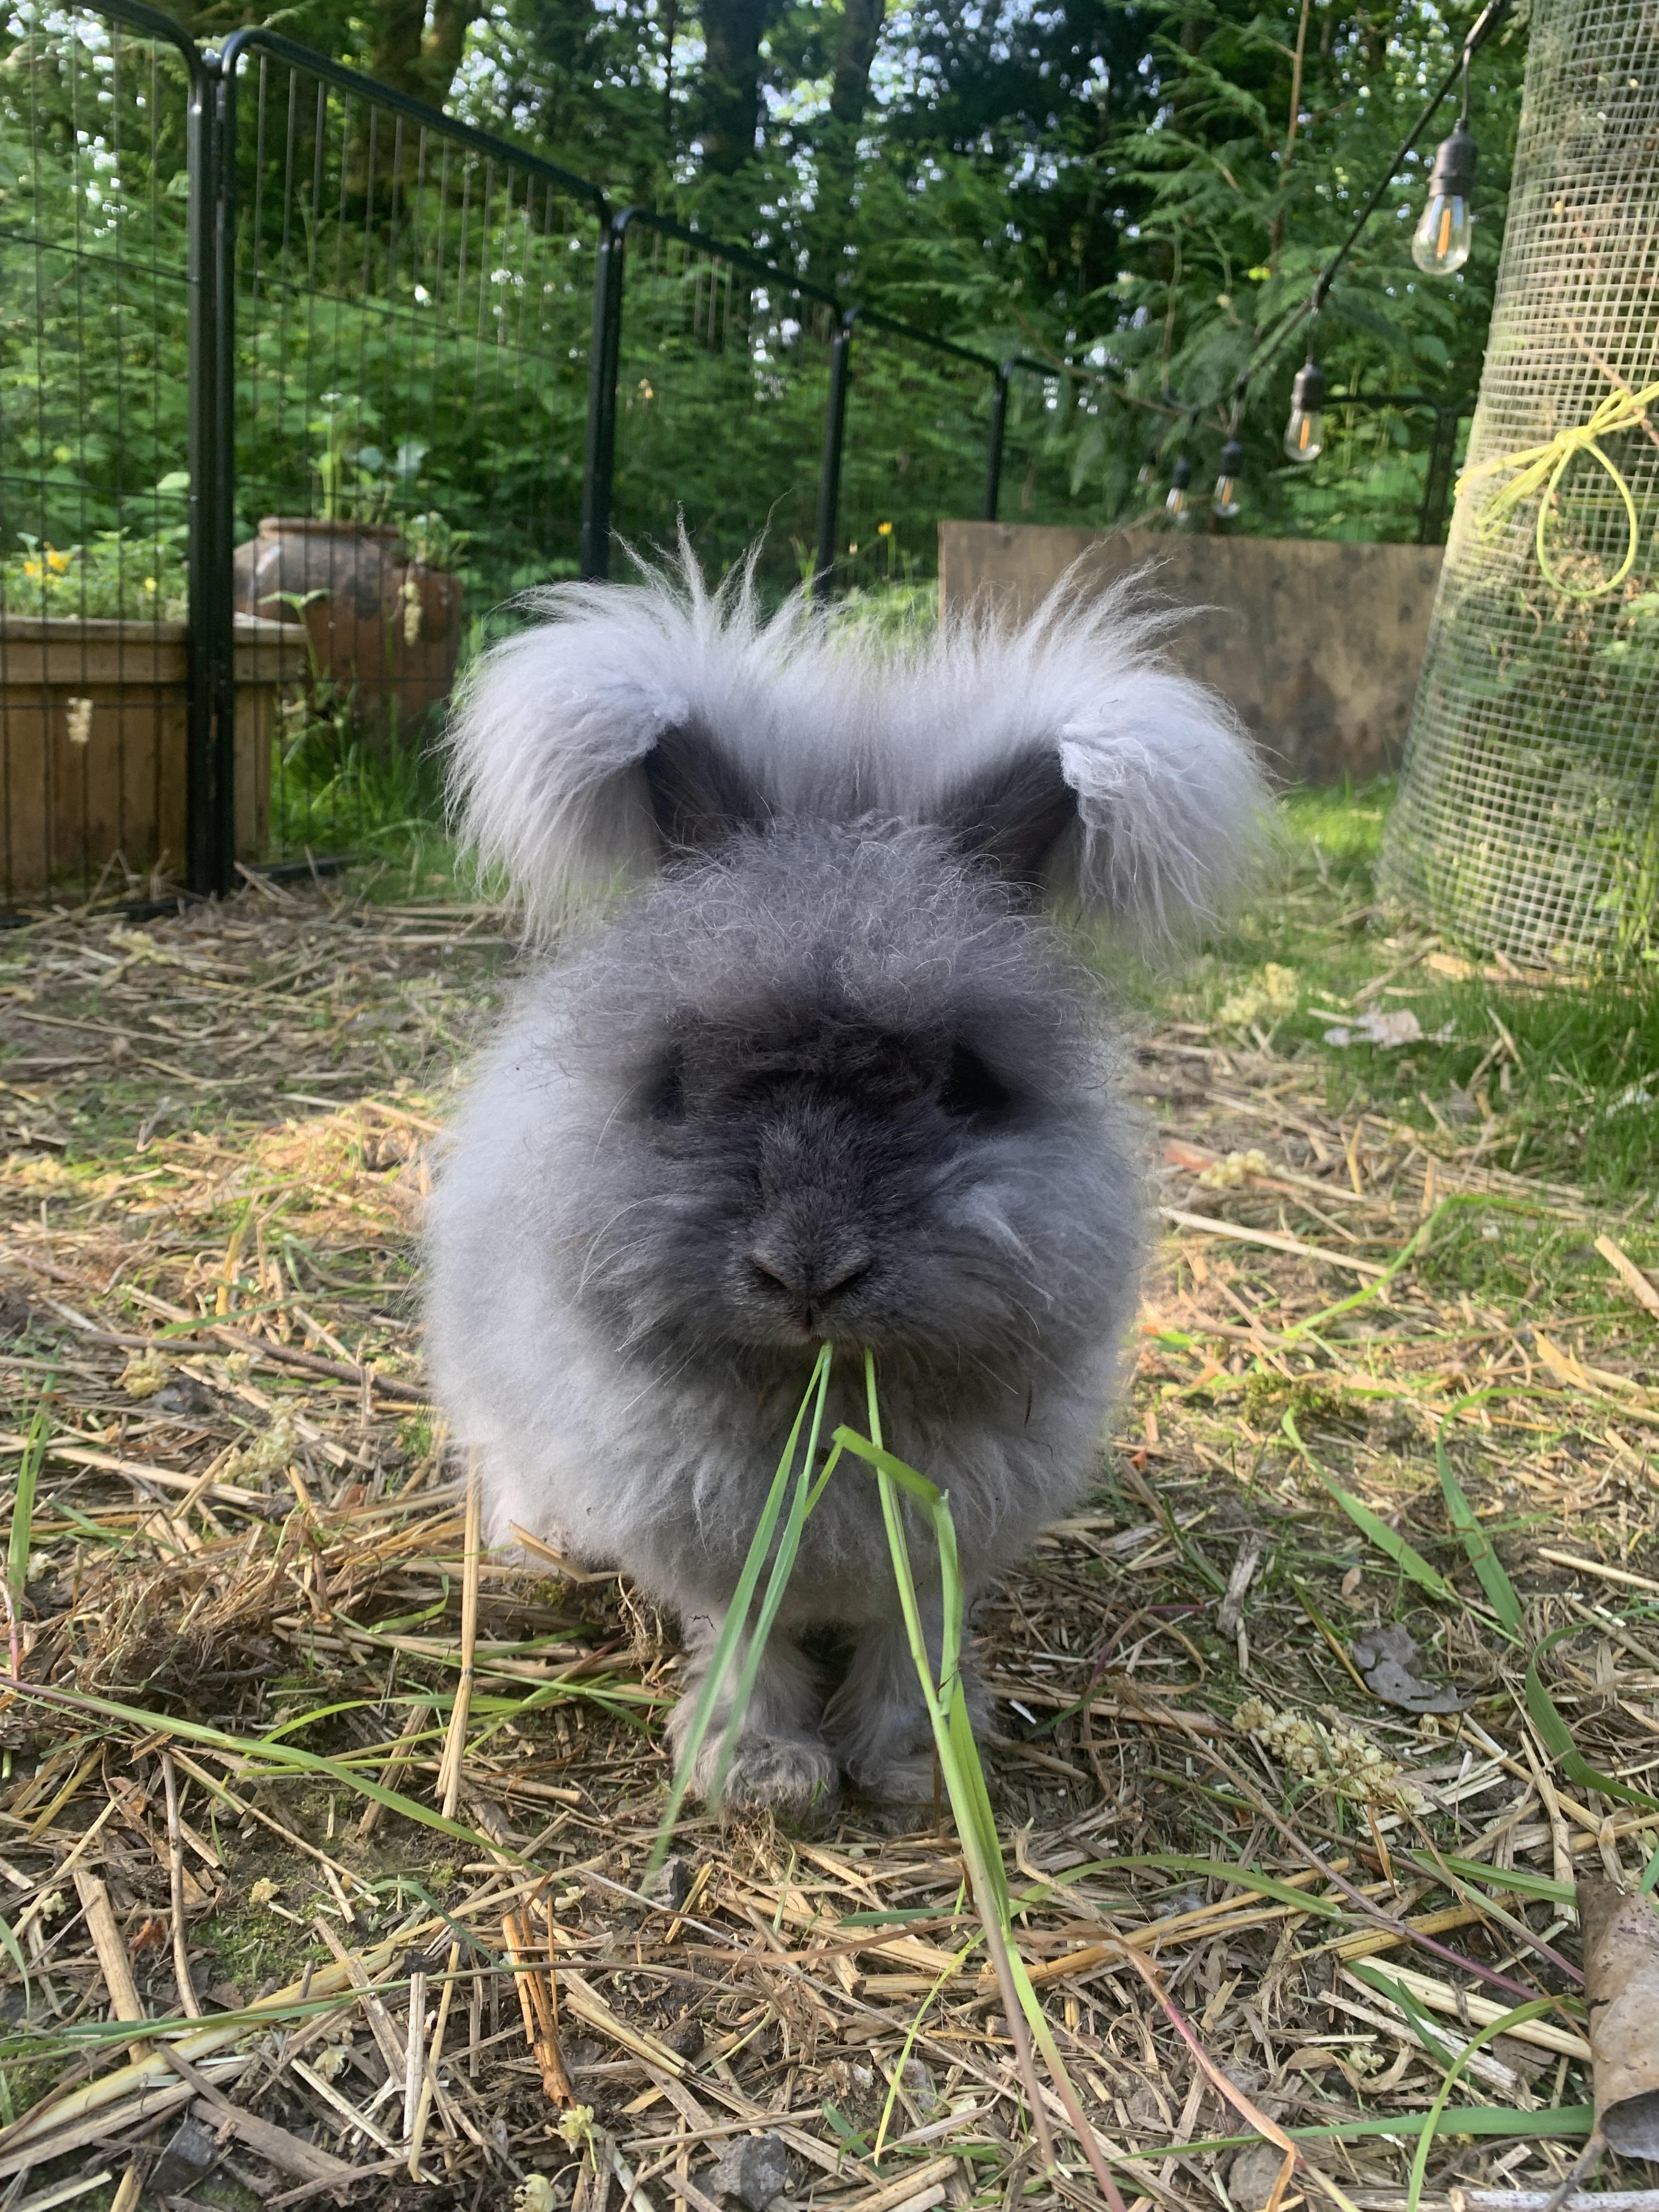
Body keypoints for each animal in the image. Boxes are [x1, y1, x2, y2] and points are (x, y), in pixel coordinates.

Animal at [424, 553, 1264, 1817]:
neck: (825, 1405)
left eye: (964, 1081)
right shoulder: (710, 1537)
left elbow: (906, 1641)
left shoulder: (942, 1537)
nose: (808, 1271)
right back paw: (539, 1546)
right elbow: (749, 1642)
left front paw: (915, 1763)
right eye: (681, 1078)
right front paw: (761, 1774)